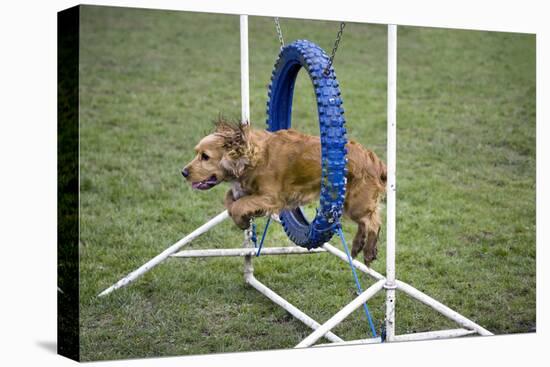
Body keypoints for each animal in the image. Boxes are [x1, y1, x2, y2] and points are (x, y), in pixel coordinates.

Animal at [182, 119, 388, 266]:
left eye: (205, 157)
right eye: (197, 153)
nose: (183, 172)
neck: (254, 157)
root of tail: (375, 160)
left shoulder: (271, 198)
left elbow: (239, 205)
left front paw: (241, 220)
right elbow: (230, 199)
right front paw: (242, 218)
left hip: (355, 203)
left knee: (373, 221)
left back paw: (368, 251)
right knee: (367, 220)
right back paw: (357, 245)